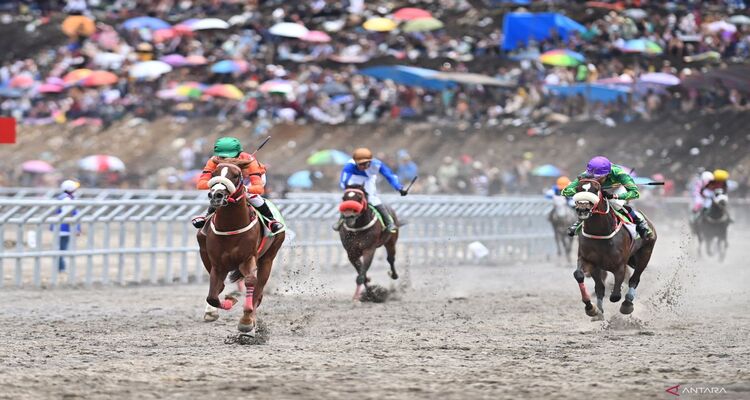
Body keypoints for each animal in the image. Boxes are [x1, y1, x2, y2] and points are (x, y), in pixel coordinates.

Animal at [197, 161, 284, 336]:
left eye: (236, 175)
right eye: (213, 173)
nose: (216, 196)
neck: (231, 225)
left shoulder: (248, 258)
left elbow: (251, 281)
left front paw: (246, 320)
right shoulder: (218, 264)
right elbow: (212, 296)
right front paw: (229, 301)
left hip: (268, 258)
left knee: (259, 289)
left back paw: (251, 318)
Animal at [572, 180, 660, 318]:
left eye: (595, 190)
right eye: (577, 189)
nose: (582, 209)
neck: (600, 233)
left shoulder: (619, 265)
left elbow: (615, 295)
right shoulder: (589, 261)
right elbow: (581, 276)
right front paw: (592, 308)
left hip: (645, 253)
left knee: (634, 279)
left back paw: (627, 304)